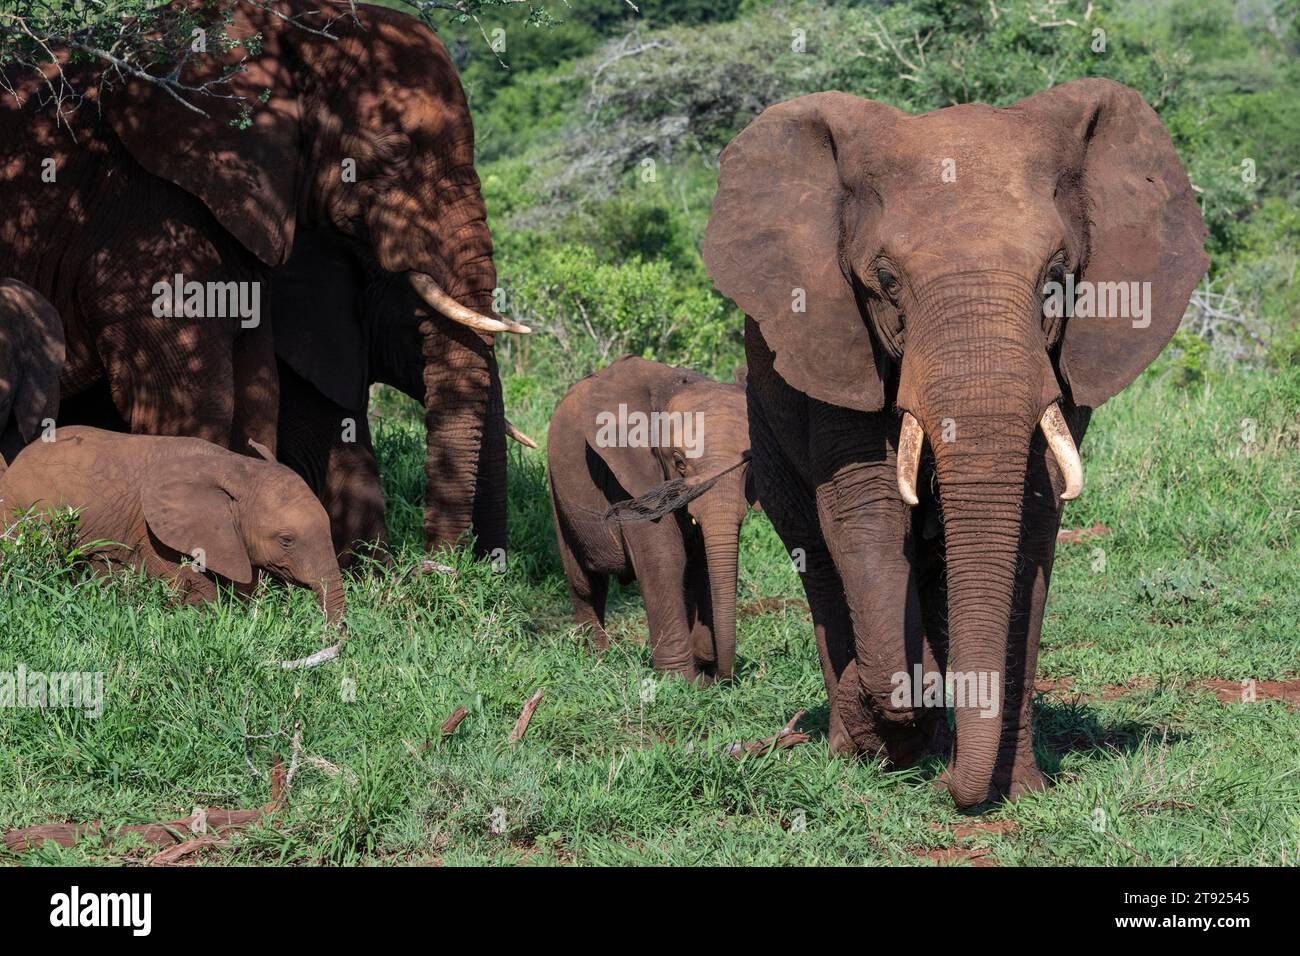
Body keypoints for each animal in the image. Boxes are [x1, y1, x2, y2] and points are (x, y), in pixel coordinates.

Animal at [551, 356, 759, 681]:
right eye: (679, 462)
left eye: (748, 463)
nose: (725, 676)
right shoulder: (630, 477)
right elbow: (664, 559)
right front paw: (680, 682)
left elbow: (701, 563)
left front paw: (703, 673)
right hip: (557, 488)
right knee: (585, 582)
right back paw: (595, 660)